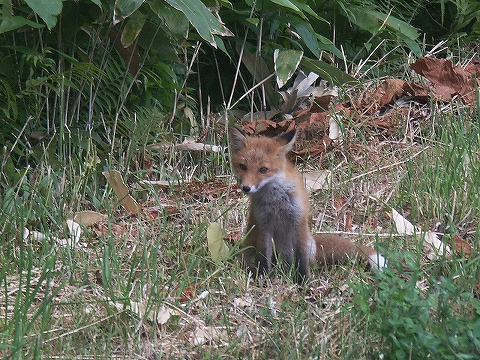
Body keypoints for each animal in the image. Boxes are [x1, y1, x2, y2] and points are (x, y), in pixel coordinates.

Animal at [229, 126, 386, 284]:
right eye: (242, 166)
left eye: (263, 170)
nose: (246, 188)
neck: (275, 200)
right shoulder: (263, 225)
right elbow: (263, 257)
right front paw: (263, 279)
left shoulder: (298, 220)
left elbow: (301, 258)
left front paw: (302, 281)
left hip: (307, 244)